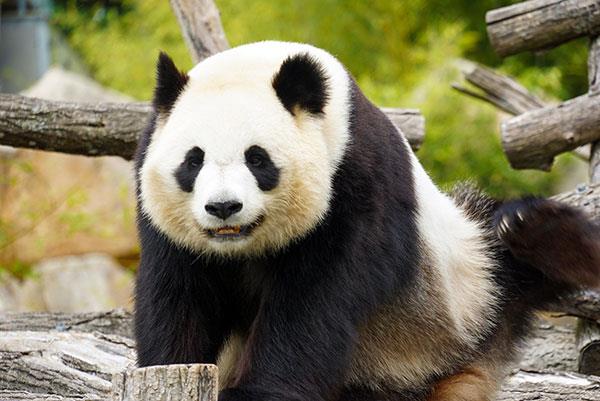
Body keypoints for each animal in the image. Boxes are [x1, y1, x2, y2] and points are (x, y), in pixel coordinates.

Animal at [135, 40, 600, 400]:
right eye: (193, 160)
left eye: (258, 159)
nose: (223, 207)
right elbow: (177, 293)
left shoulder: (356, 179)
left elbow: (316, 301)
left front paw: (256, 392)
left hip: (457, 302)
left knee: (513, 257)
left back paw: (530, 226)